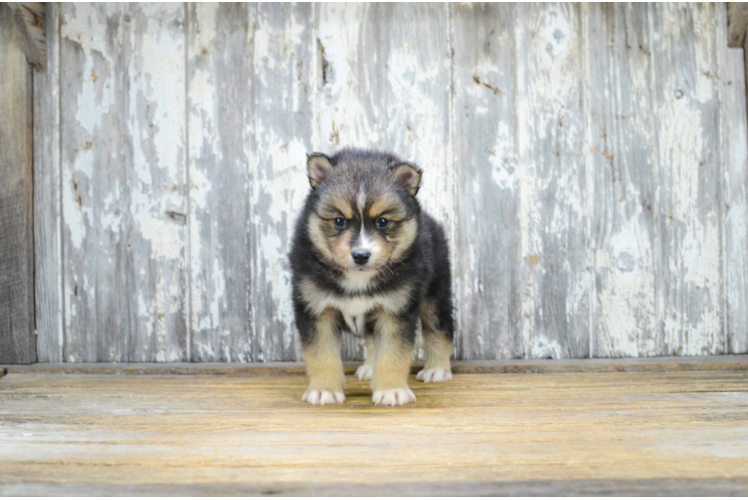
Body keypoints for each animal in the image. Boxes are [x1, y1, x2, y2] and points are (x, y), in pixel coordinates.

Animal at [290, 148, 456, 406]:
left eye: (382, 221)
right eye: (339, 220)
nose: (361, 255)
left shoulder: (395, 311)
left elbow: (392, 355)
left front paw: (391, 391)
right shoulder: (316, 310)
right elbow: (321, 355)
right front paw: (324, 390)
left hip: (436, 294)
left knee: (440, 329)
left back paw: (436, 370)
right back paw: (369, 367)